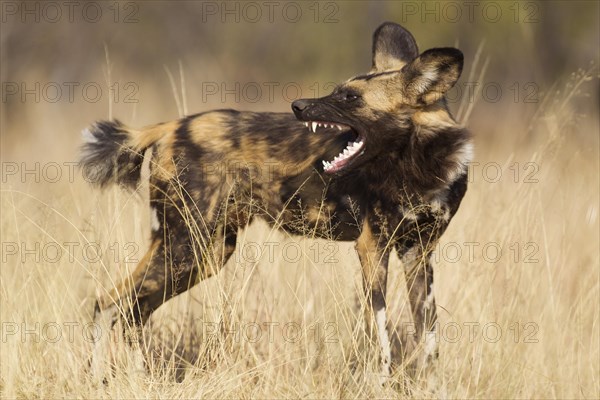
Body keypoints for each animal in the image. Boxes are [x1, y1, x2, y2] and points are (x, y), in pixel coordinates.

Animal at [82, 23, 472, 380]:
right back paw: (99, 378)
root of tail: (170, 126)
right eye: (339, 91)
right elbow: (382, 337)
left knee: (133, 312)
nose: (298, 106)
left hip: (206, 254)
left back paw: (139, 379)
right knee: (107, 304)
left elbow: (429, 341)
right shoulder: (372, 247)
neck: (420, 165)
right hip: (185, 247)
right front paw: (379, 384)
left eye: (351, 98)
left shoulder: (418, 253)